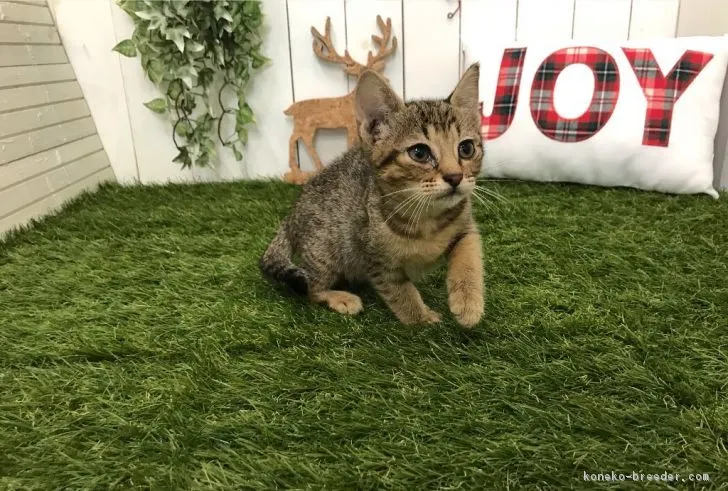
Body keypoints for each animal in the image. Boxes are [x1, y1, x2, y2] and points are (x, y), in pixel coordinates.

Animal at [258, 63, 486, 328]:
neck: (426, 217)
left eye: (466, 148)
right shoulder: (375, 260)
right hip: (325, 252)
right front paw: (420, 318)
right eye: (419, 152)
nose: (455, 177)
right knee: (310, 288)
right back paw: (340, 297)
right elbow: (401, 292)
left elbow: (469, 256)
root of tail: (291, 215)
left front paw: (468, 302)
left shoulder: (465, 225)